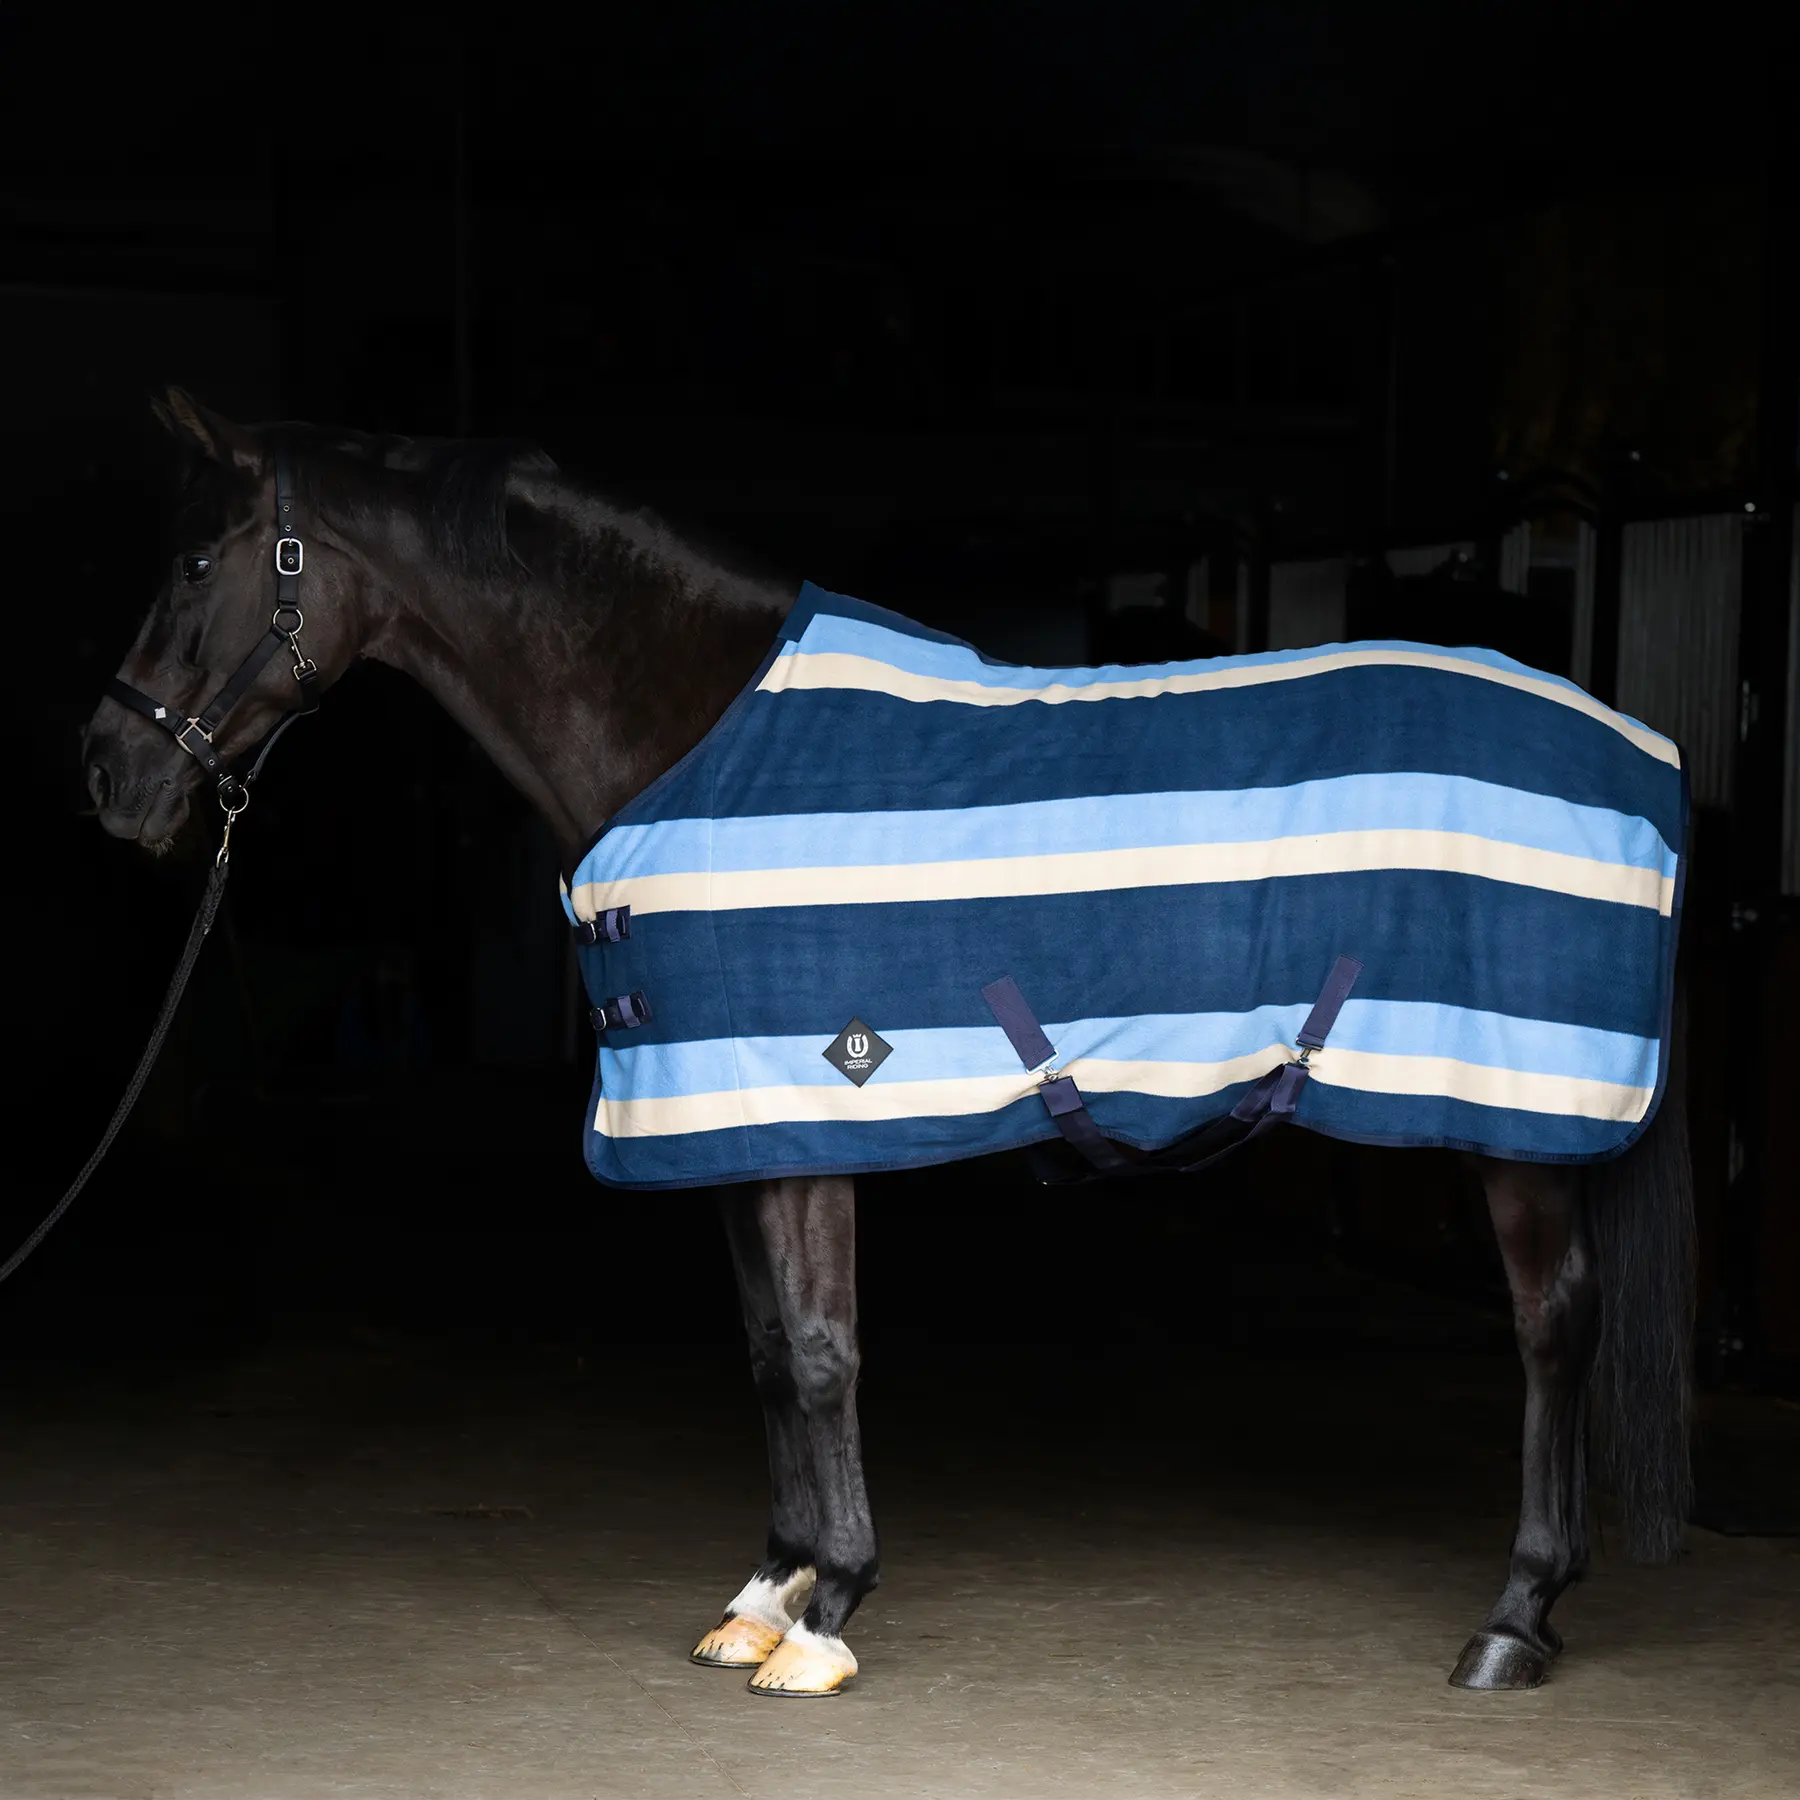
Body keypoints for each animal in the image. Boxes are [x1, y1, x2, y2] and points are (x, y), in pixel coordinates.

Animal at [81, 389, 1694, 1697]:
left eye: (201, 562)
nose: (108, 775)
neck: (691, 730)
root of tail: (1643, 746)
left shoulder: (814, 1098)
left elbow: (815, 1351)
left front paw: (829, 1612)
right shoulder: (733, 1116)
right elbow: (762, 1350)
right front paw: (762, 1590)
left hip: (1511, 1118)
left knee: (1554, 1325)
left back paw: (1515, 1619)